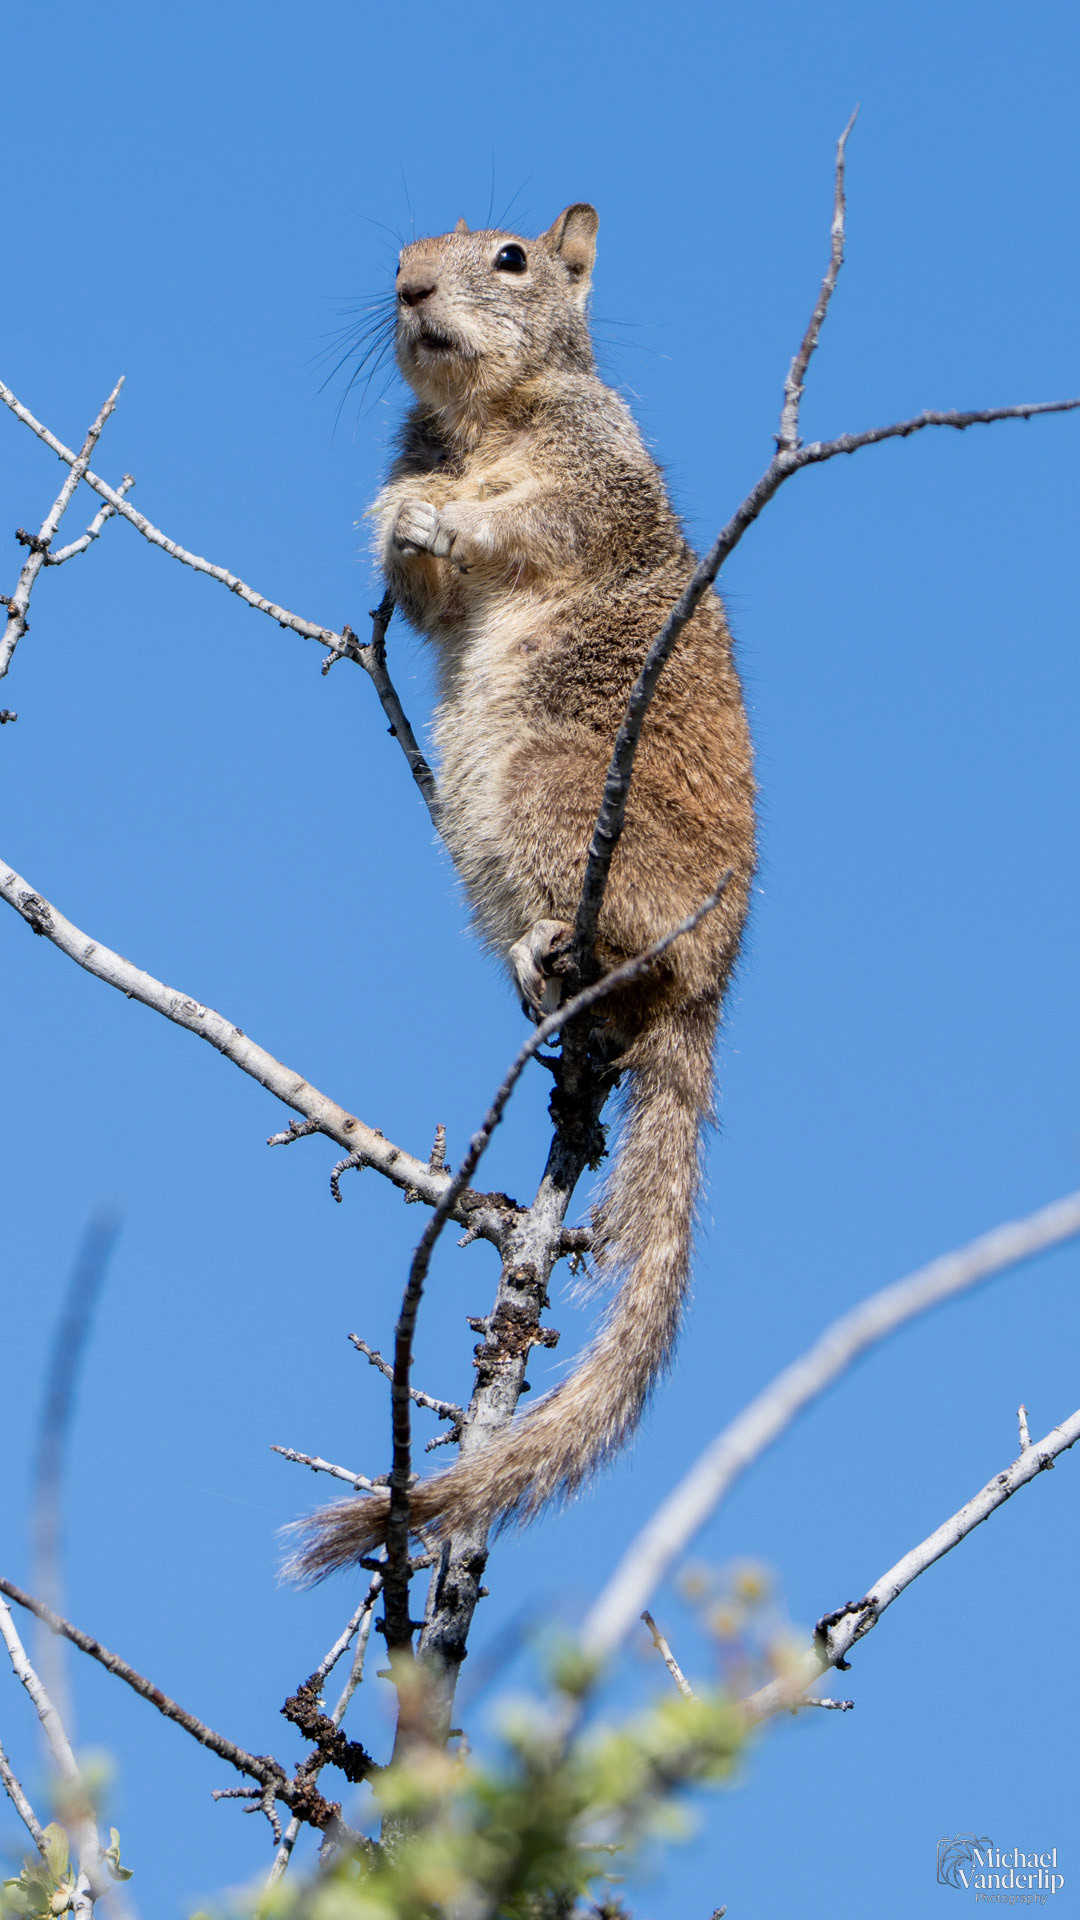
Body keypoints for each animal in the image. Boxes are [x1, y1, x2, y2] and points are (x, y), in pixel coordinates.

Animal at [296, 204, 756, 1577]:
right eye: (399, 252)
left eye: (509, 256)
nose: (407, 291)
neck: (485, 417)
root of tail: (713, 985)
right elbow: (425, 578)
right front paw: (403, 513)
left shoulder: (592, 471)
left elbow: (533, 522)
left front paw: (445, 516)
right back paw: (533, 970)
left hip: (561, 787)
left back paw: (572, 944)